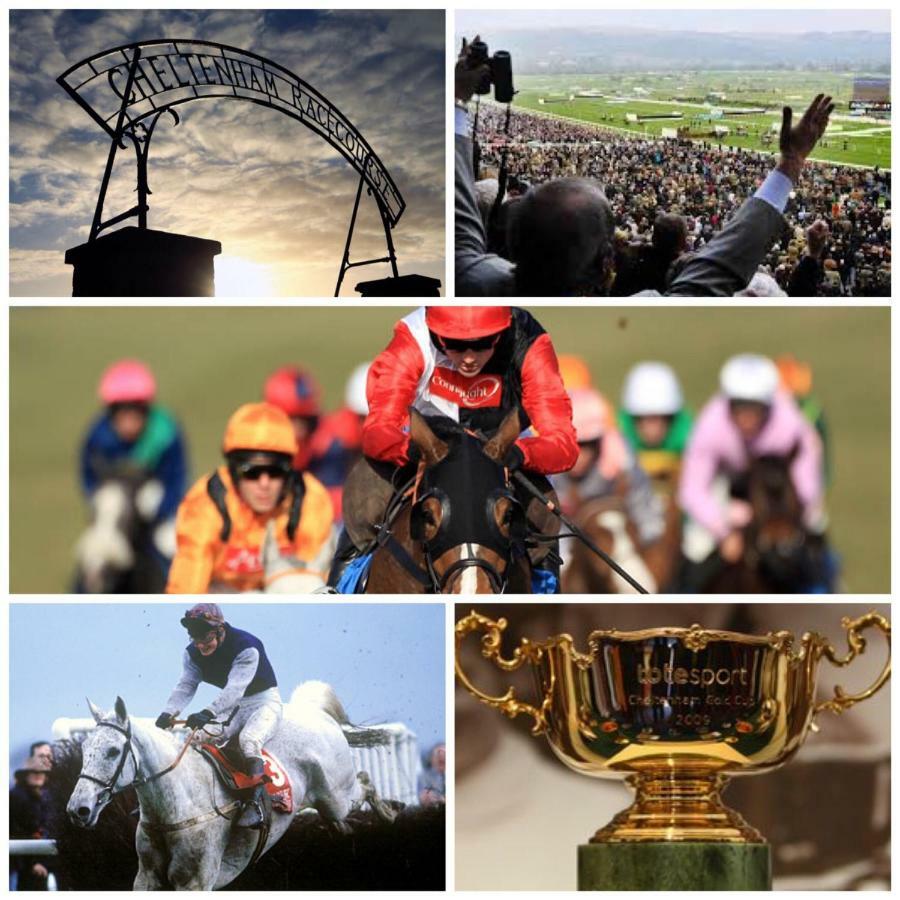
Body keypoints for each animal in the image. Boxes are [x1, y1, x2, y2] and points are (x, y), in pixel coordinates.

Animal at [67, 684, 394, 884]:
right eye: (84, 749)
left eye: (112, 751)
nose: (77, 810)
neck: (176, 805)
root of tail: (316, 712)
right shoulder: (146, 878)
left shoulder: (195, 882)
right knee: (341, 815)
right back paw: (347, 829)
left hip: (336, 795)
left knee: (365, 783)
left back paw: (390, 813)